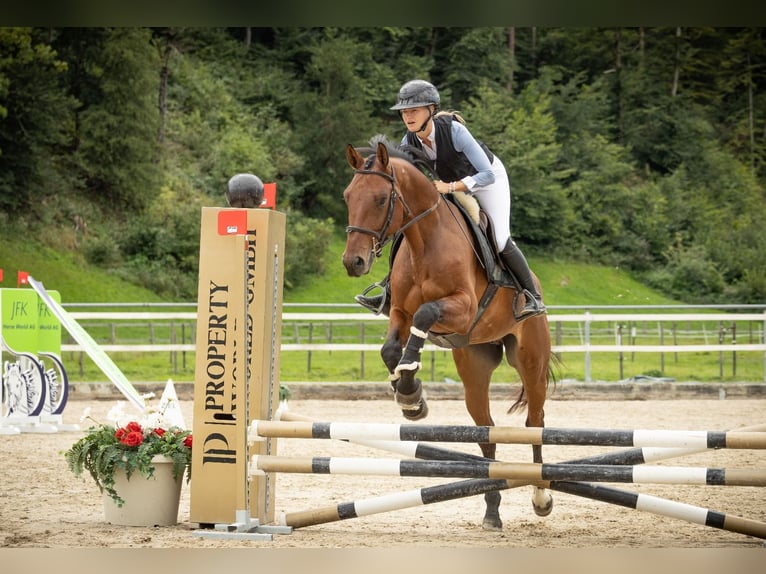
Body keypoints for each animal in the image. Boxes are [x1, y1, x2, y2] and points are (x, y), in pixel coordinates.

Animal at [341, 138, 556, 531]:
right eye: (349, 196)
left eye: (380, 199)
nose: (354, 262)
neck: (424, 239)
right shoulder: (399, 311)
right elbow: (391, 349)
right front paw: (411, 397)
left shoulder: (463, 307)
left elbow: (425, 315)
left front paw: (410, 388)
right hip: (474, 365)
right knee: (486, 432)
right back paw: (491, 512)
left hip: (531, 360)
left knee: (535, 422)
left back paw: (541, 496)